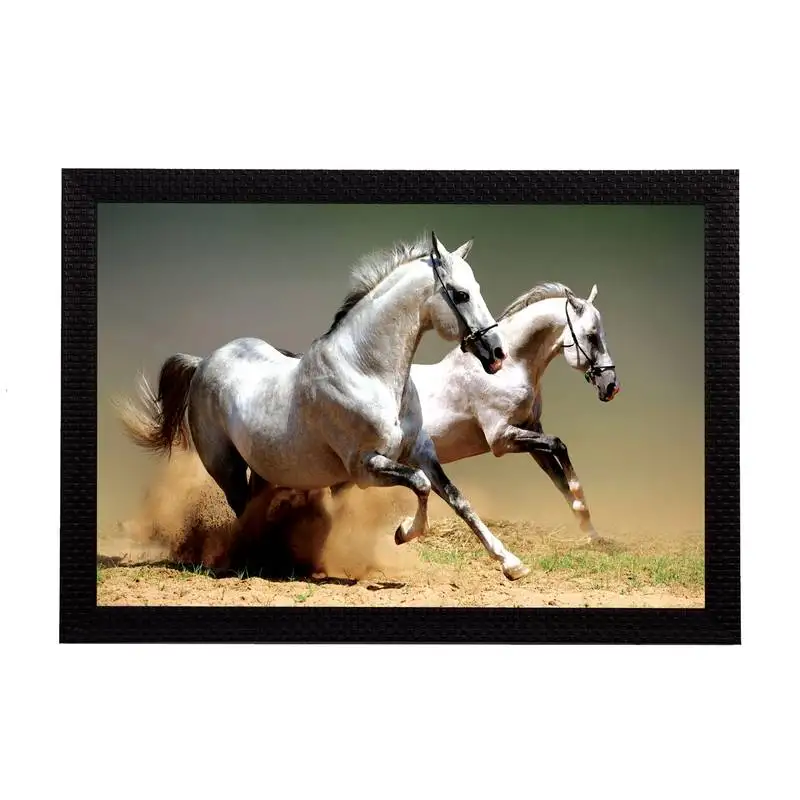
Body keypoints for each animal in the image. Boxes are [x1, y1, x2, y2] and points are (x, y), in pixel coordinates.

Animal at [119, 232, 533, 580]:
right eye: (460, 295)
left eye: (476, 289)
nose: (497, 353)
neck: (367, 372)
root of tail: (203, 362)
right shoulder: (365, 468)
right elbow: (420, 484)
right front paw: (403, 532)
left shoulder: (420, 450)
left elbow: (456, 497)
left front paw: (511, 564)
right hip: (225, 466)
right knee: (242, 511)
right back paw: (256, 561)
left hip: (265, 469)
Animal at [285, 282, 620, 540]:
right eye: (591, 335)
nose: (611, 386)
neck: (510, 368)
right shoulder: (502, 439)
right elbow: (559, 447)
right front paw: (581, 502)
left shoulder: (530, 430)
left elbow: (558, 474)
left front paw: (592, 533)